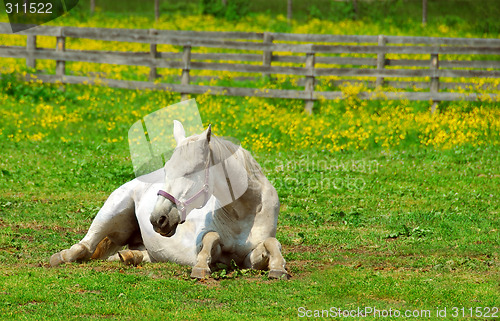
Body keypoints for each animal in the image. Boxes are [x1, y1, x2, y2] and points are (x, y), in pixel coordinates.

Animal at [50, 121, 290, 278]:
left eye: (190, 172)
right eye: (167, 170)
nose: (158, 219)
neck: (245, 211)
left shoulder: (249, 257)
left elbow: (271, 243)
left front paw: (278, 267)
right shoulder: (198, 246)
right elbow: (210, 238)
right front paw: (201, 267)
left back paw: (129, 256)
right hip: (110, 212)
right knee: (86, 246)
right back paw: (61, 257)